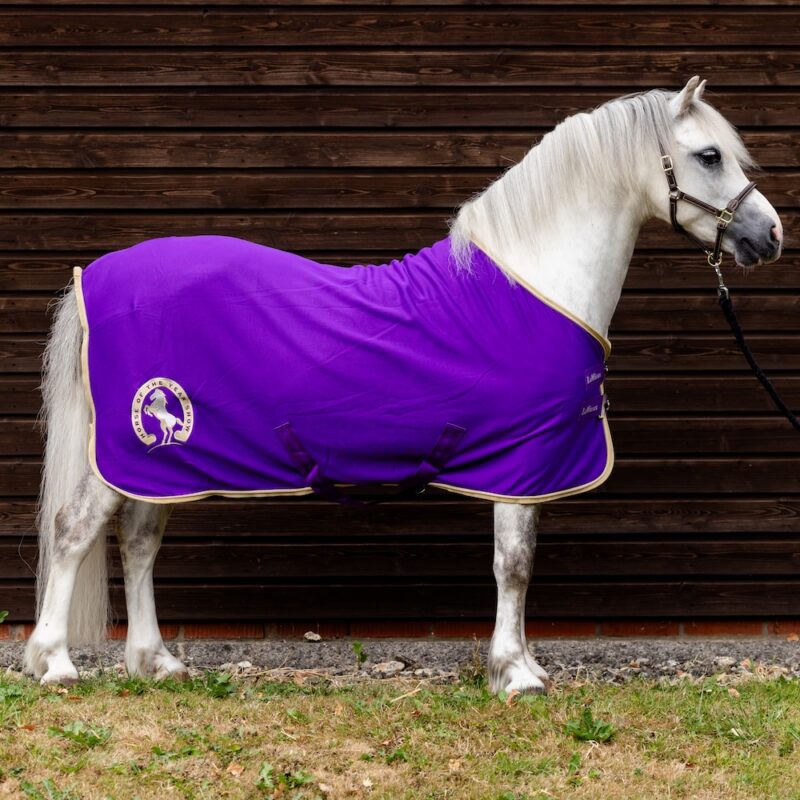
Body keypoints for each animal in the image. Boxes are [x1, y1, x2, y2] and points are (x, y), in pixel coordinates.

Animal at [23, 77, 783, 694]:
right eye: (708, 156)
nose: (770, 236)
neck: (529, 287)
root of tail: (98, 275)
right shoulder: (519, 460)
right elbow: (514, 563)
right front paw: (515, 675)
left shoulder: (526, 466)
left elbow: (519, 563)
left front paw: (521, 665)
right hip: (136, 447)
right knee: (73, 531)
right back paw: (55, 662)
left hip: (167, 461)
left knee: (139, 539)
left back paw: (156, 662)